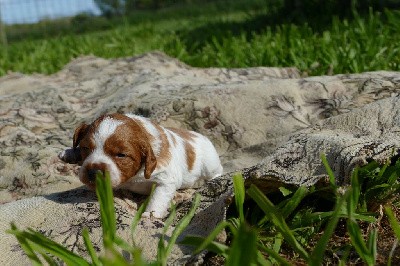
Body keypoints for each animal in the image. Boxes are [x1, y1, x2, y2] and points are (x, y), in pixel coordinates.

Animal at [58, 112, 223, 218]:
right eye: (86, 148)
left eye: (121, 155)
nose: (93, 172)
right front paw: (69, 153)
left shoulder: (166, 179)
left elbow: (158, 197)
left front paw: (150, 214)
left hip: (210, 165)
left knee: (217, 171)